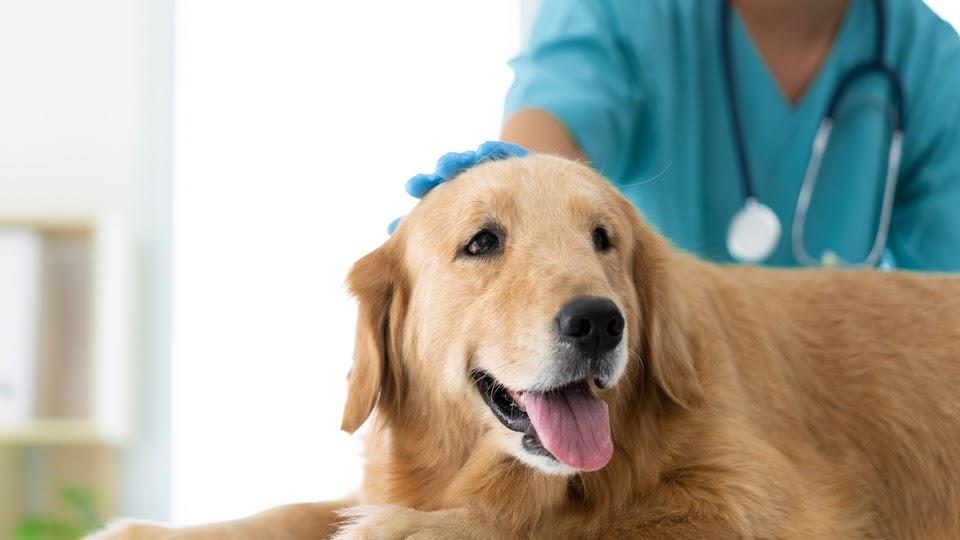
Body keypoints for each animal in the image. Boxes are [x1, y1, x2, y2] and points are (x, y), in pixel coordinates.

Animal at [97, 154, 960, 536]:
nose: (599, 322)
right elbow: (295, 509)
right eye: (482, 242)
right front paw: (141, 530)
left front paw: (409, 530)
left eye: (603, 238)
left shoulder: (761, 500)